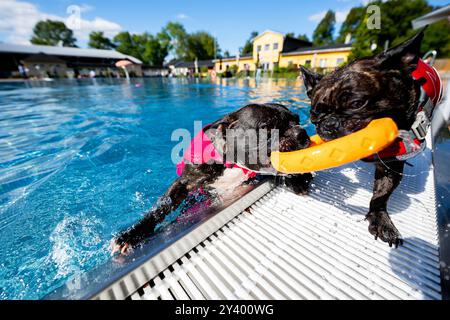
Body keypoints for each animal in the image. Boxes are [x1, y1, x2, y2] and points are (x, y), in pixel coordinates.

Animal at [111, 104, 312, 254]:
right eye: (266, 128)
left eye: (297, 119)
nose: (300, 132)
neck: (231, 163)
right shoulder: (184, 183)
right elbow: (161, 208)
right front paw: (130, 235)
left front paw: (299, 178)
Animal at [298, 30, 440, 249]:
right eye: (314, 114)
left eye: (357, 103)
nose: (329, 123)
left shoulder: (390, 164)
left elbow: (380, 195)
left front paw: (381, 219)